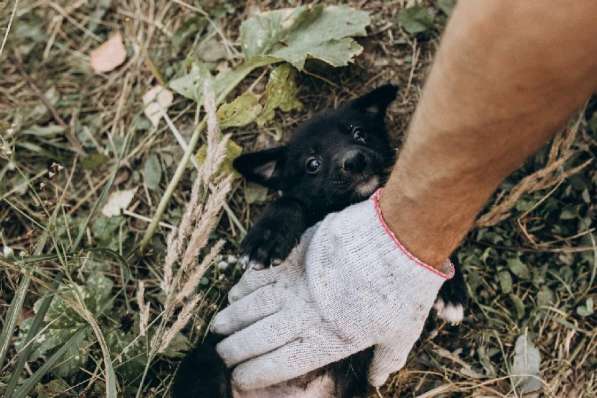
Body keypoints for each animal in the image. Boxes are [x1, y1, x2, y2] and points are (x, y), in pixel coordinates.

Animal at [172, 84, 466, 398]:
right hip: (205, 360)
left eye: (359, 133)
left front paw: (452, 292)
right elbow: (290, 201)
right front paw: (267, 236)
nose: (354, 160)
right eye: (312, 164)